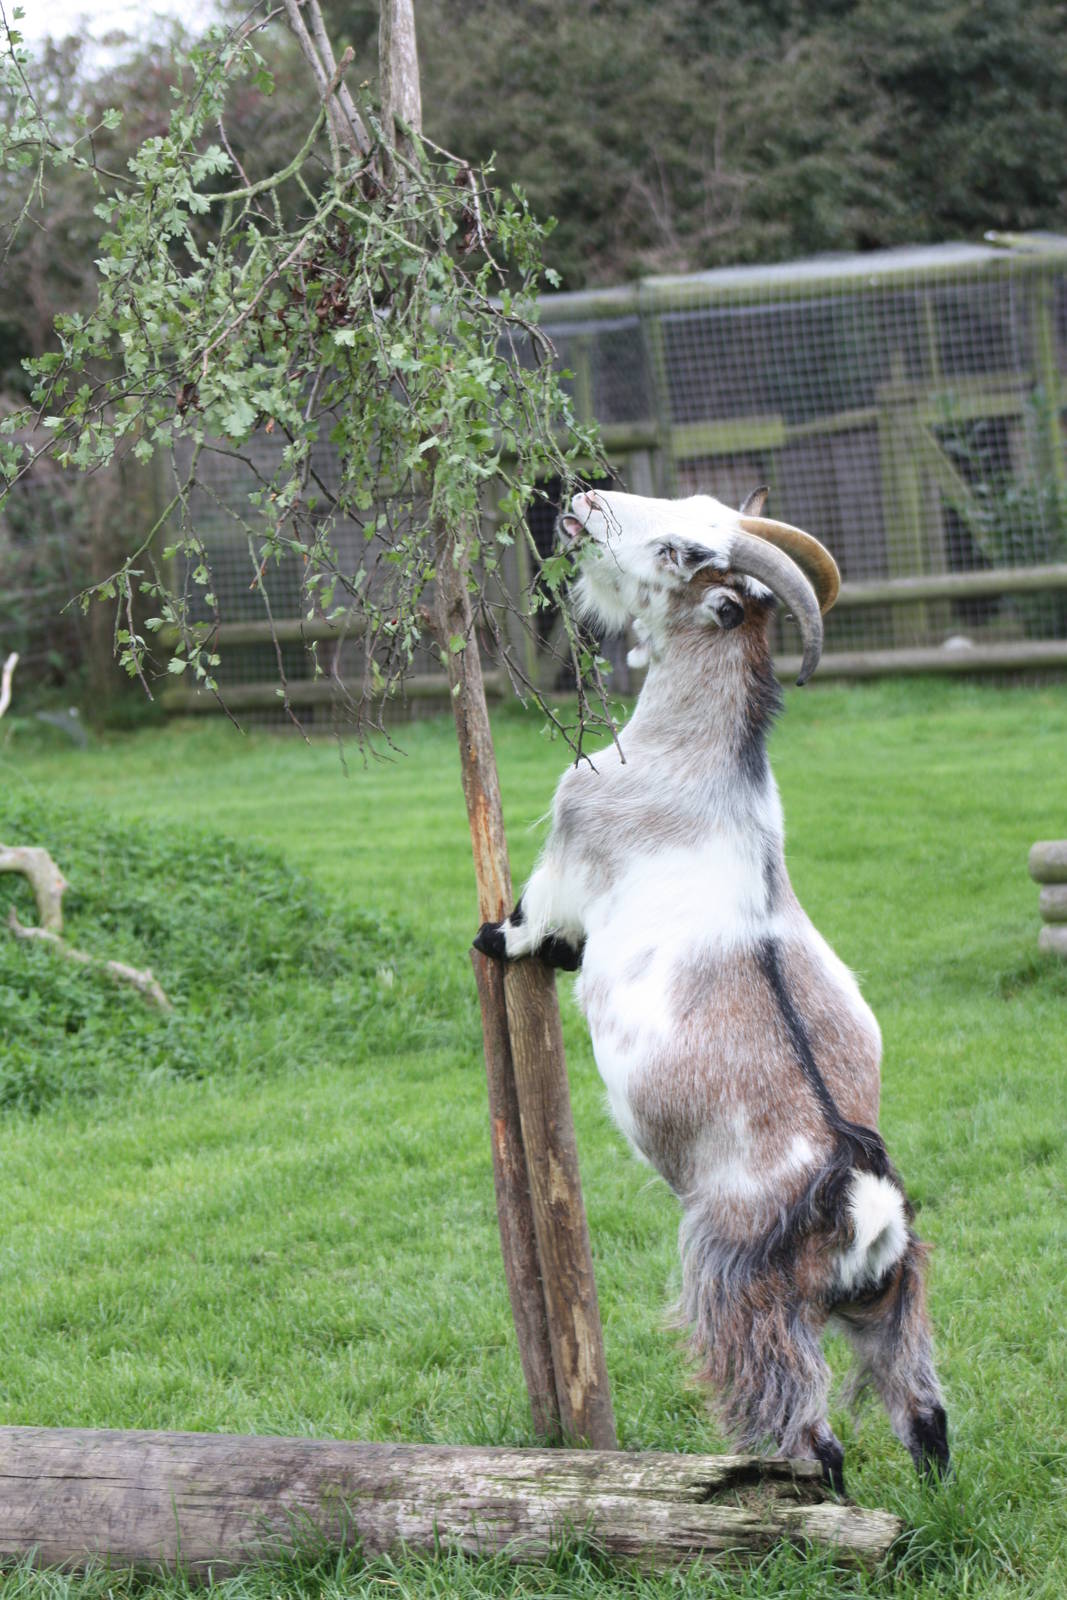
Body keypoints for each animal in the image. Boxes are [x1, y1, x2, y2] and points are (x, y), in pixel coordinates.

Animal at [474, 488, 948, 1491]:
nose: (581, 502)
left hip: (739, 1285)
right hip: (895, 1301)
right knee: (922, 1410)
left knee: (812, 1432)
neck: (699, 762)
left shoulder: (572, 841)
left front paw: (496, 940)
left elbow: (533, 920)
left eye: (680, 549)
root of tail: (858, 1197)